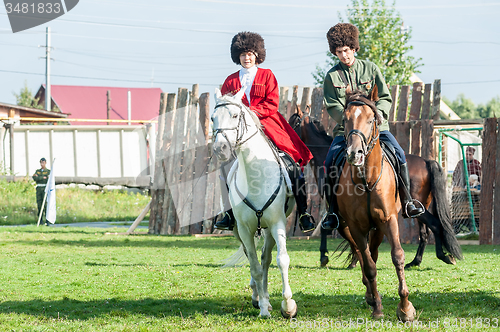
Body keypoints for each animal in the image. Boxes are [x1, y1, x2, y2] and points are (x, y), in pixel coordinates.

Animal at [211, 89, 296, 320]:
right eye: (213, 118)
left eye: (234, 115)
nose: (220, 148)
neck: (255, 175)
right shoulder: (244, 229)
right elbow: (254, 266)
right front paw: (264, 307)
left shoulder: (277, 224)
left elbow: (281, 260)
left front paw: (288, 305)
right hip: (239, 231)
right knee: (255, 260)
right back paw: (259, 297)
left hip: (268, 228)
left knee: (266, 258)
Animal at [290, 100, 460, 272]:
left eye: (292, 123)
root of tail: (426, 161)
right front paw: (356, 259)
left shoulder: (334, 206)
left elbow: (330, 230)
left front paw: (328, 256)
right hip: (420, 208)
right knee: (426, 232)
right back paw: (417, 261)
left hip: (416, 207)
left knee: (435, 225)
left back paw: (441, 256)